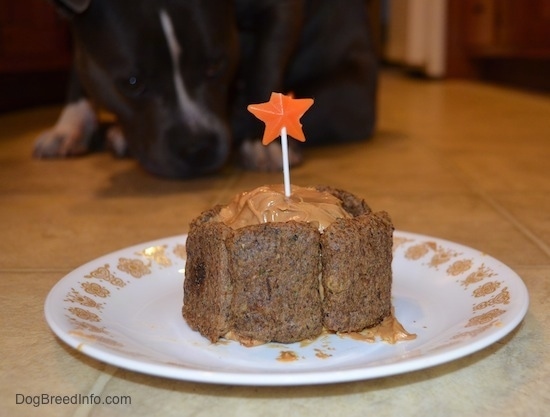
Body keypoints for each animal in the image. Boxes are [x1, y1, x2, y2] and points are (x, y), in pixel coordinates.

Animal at [34, 0, 380, 177]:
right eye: (132, 82)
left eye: (216, 65)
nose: (196, 148)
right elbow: (78, 66)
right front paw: (69, 125)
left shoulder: (281, 10)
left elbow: (266, 65)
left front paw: (264, 144)